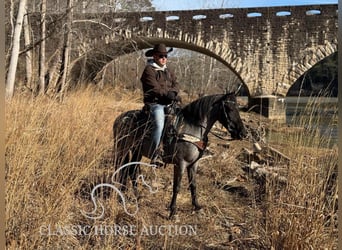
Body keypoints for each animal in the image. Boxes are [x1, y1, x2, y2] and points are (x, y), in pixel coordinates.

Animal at [113, 92, 247, 219]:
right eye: (229, 108)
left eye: (238, 108)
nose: (243, 133)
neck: (193, 128)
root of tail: (120, 118)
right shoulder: (180, 163)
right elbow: (176, 187)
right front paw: (172, 212)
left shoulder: (194, 164)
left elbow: (193, 185)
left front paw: (197, 206)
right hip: (121, 149)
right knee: (119, 168)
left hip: (137, 151)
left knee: (131, 171)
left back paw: (136, 196)